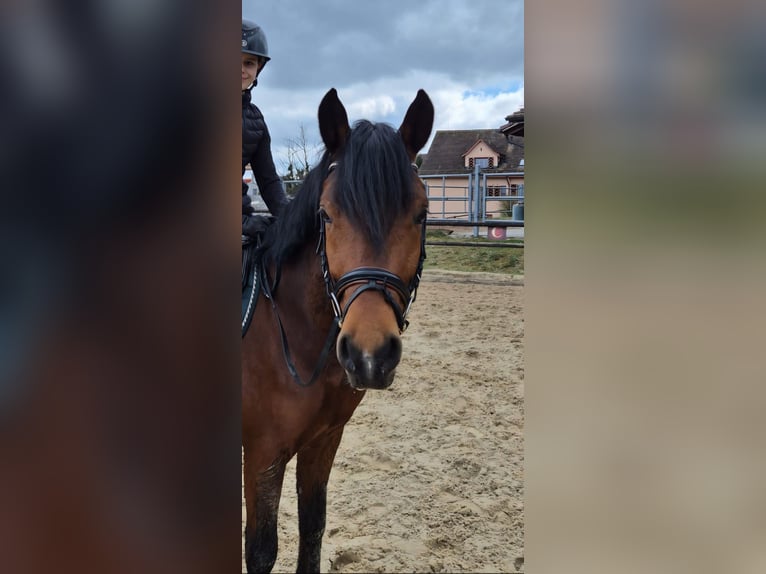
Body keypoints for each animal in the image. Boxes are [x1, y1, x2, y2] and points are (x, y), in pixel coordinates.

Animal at [242, 88, 434, 573]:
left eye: (421, 215)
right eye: (326, 216)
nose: (369, 355)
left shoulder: (324, 440)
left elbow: (313, 527)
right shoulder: (262, 452)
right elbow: (260, 549)